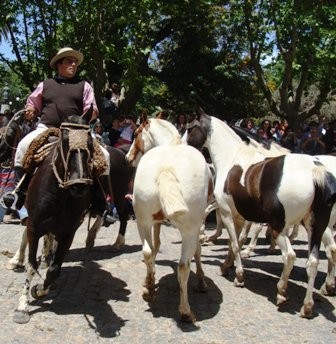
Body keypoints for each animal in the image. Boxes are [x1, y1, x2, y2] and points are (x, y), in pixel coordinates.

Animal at [186, 109, 336, 318]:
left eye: (190, 127)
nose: (181, 144)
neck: (231, 157)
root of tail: (315, 170)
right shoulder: (238, 216)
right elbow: (235, 242)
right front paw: (226, 266)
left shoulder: (226, 212)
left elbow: (235, 242)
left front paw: (239, 276)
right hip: (316, 228)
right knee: (315, 261)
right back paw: (309, 304)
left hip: (280, 227)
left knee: (290, 256)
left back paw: (282, 292)